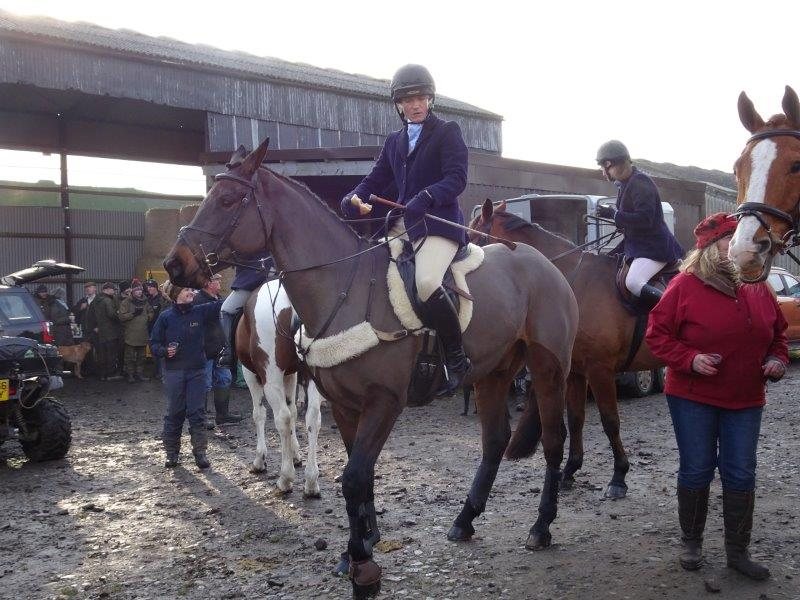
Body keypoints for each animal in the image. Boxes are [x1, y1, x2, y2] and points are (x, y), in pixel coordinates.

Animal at [236, 278, 322, 498]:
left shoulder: (251, 374)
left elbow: (259, 414)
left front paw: (260, 459)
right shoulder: (291, 374)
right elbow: (294, 411)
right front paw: (296, 453)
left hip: (270, 378)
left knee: (282, 418)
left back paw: (285, 479)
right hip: (312, 376)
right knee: (312, 417)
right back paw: (311, 482)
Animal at [469, 199, 665, 498]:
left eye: (473, 238)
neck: (572, 284)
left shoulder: (599, 369)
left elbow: (610, 421)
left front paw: (619, 476)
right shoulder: (575, 371)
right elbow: (576, 419)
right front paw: (571, 469)